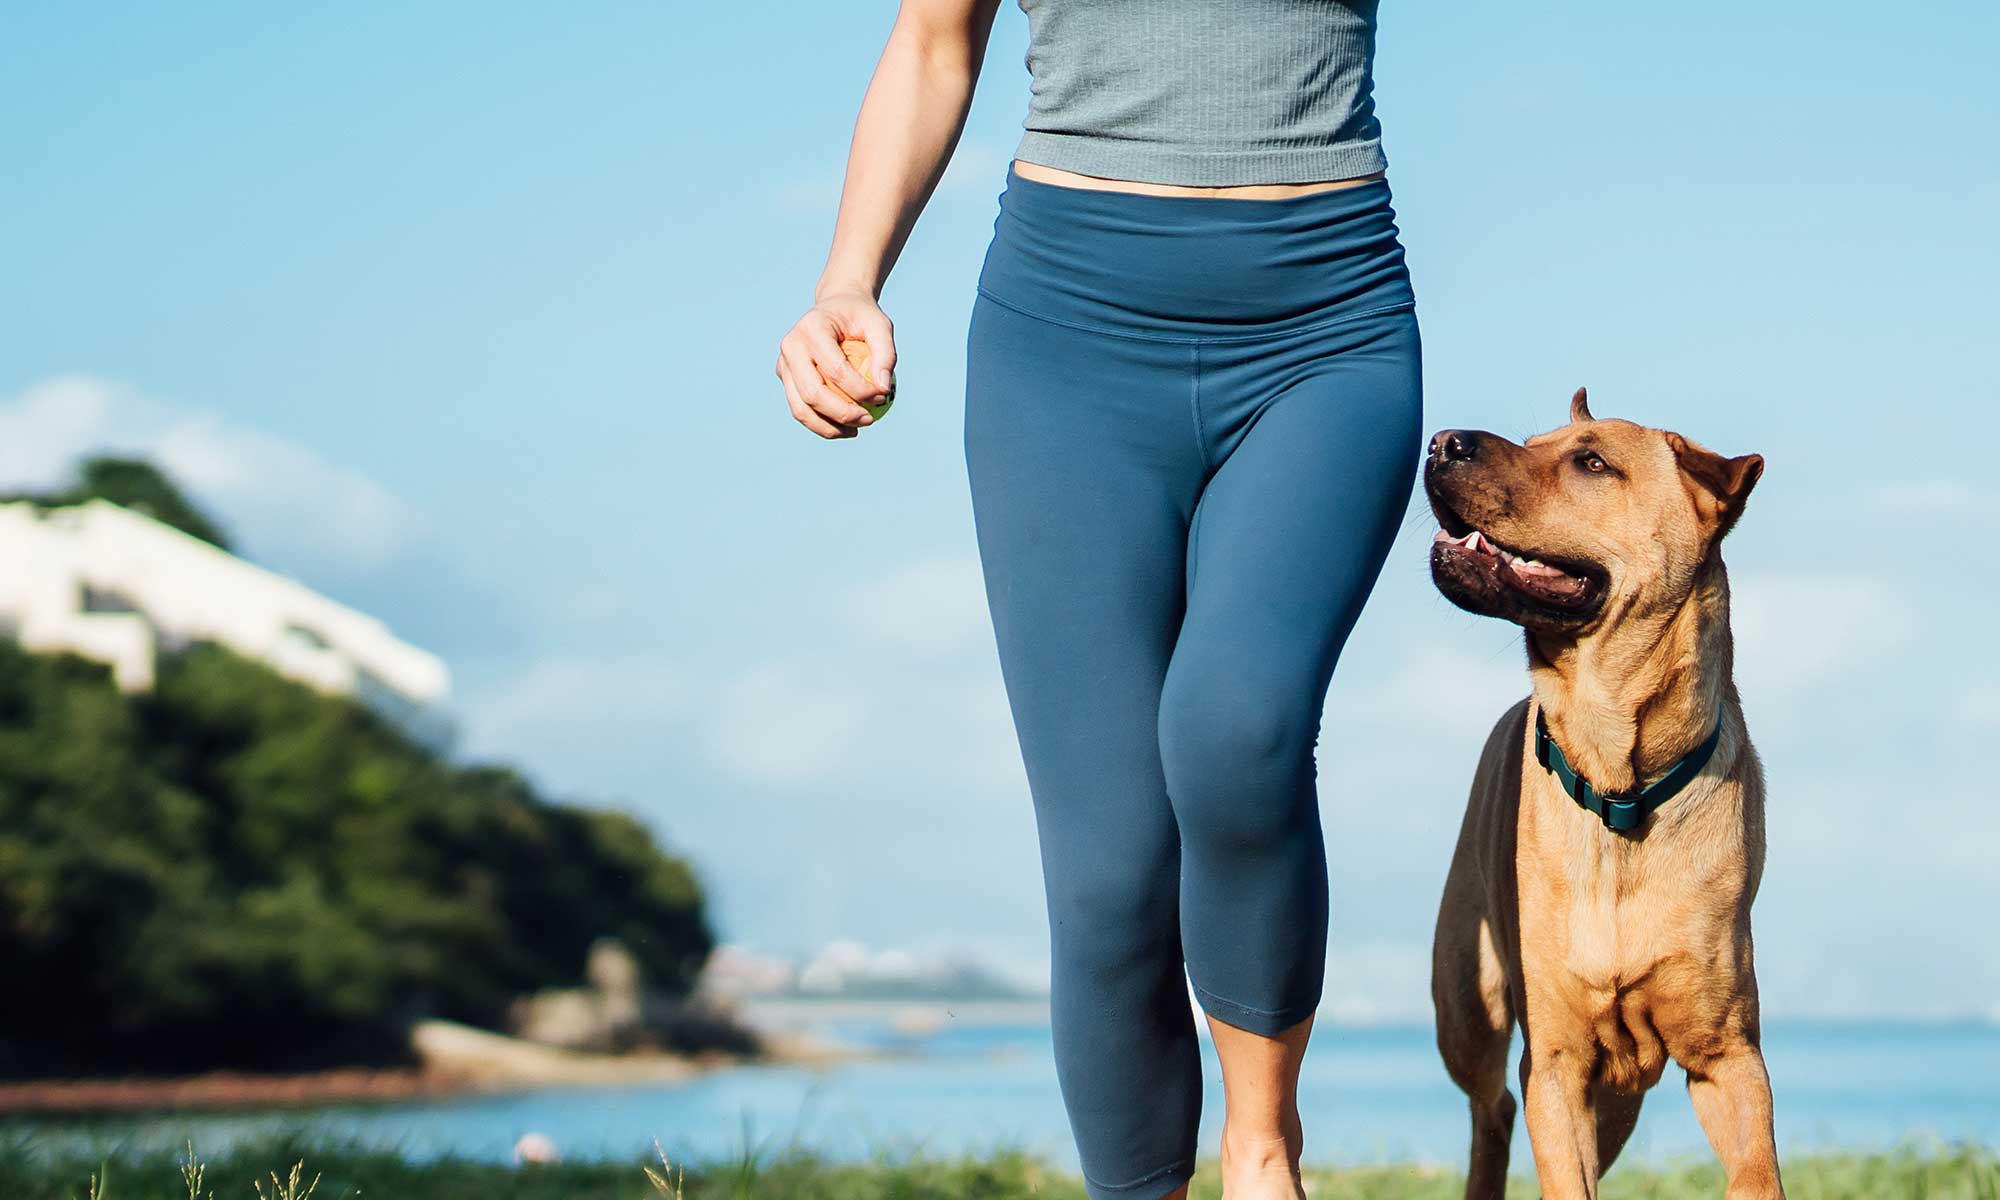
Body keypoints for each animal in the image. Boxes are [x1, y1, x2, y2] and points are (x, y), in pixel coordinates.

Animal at [1424, 394, 1784, 1200]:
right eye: (1532, 441)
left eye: (1592, 462)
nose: (1440, 441)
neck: (1621, 786)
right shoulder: (1557, 1064)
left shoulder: (1728, 1054)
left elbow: (1756, 1171)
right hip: (1468, 1005)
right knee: (1491, 1109)